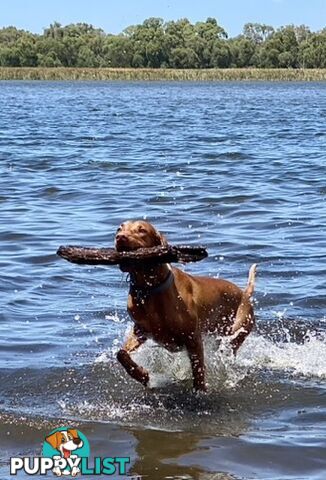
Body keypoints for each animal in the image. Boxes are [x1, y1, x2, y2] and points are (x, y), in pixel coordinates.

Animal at [116, 220, 256, 390]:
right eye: (119, 228)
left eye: (141, 230)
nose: (120, 237)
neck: (150, 289)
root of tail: (244, 294)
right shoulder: (141, 331)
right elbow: (121, 354)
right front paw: (142, 375)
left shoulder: (193, 338)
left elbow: (198, 372)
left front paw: (200, 391)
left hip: (236, 333)